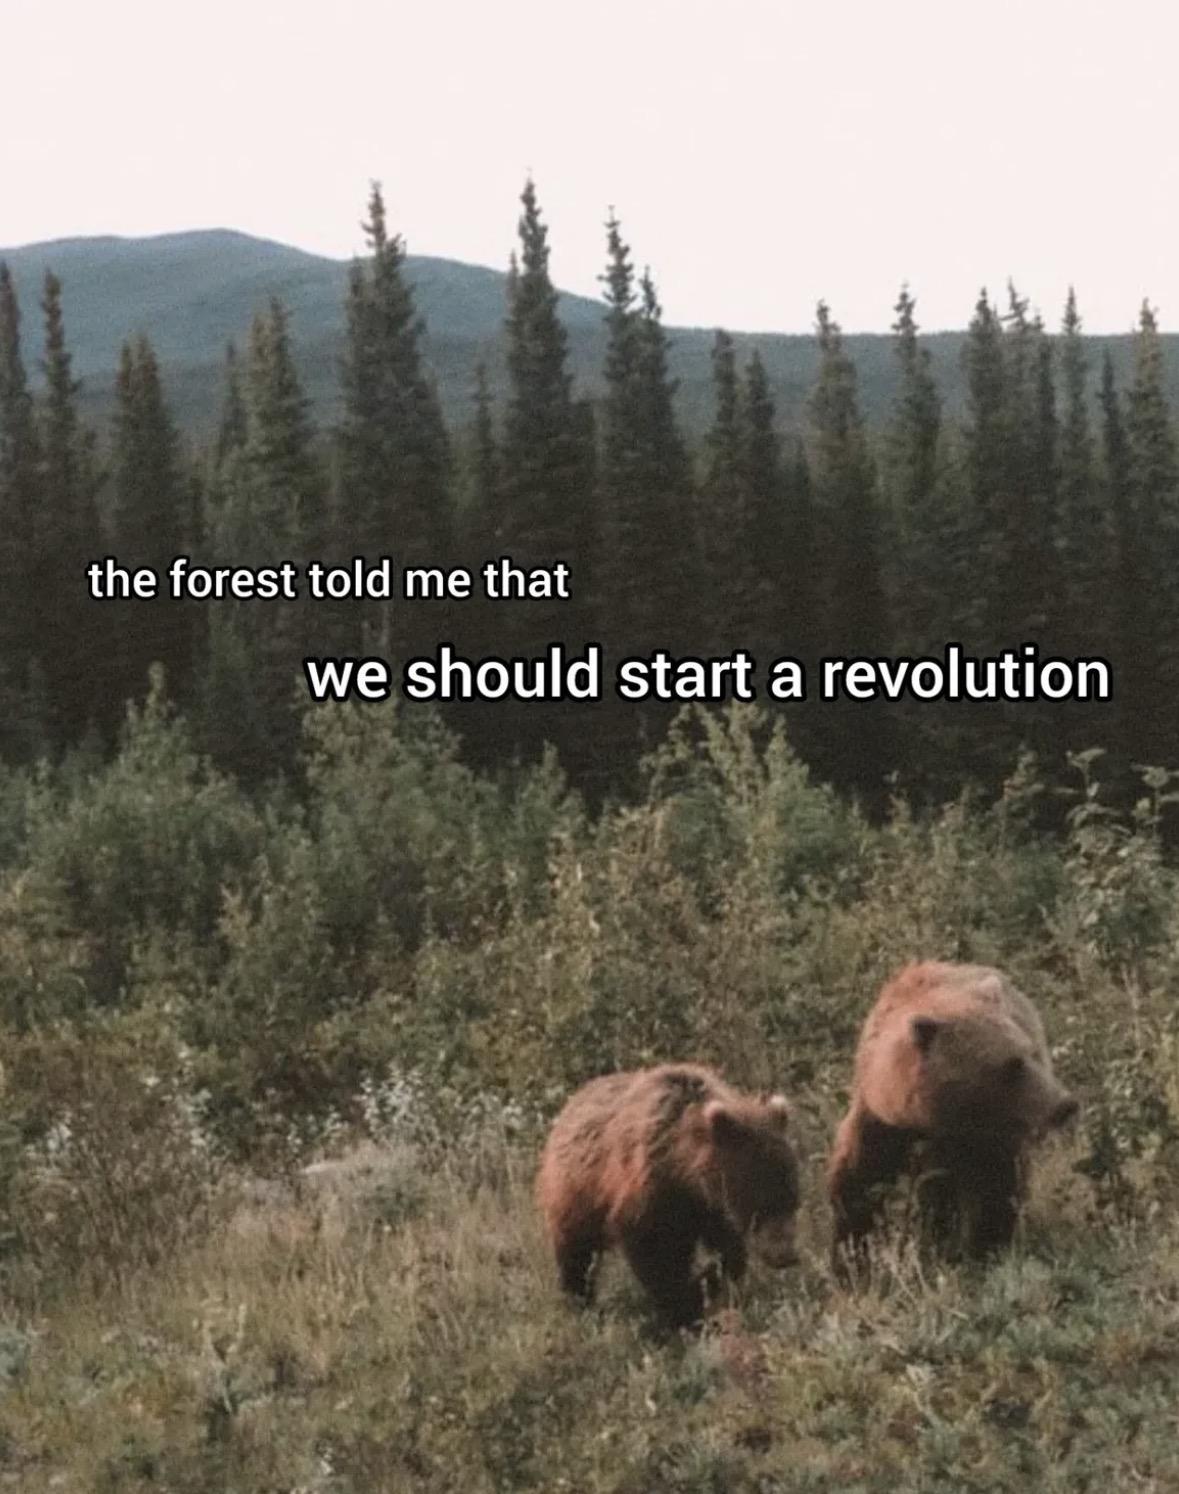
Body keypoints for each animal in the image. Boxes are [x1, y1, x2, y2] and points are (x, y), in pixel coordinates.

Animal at [536, 1063, 801, 1329]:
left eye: (793, 1200)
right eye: (761, 1204)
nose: (786, 1255)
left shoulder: (708, 1208)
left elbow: (729, 1252)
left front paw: (707, 1281)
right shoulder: (648, 1190)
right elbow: (654, 1253)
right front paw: (685, 1305)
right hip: (575, 1193)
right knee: (576, 1252)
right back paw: (579, 1300)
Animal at [827, 960, 1078, 1276]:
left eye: (1032, 1052)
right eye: (1013, 1065)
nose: (1064, 1104)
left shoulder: (984, 1139)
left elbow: (992, 1190)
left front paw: (981, 1253)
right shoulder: (879, 1122)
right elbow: (858, 1186)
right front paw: (853, 1261)